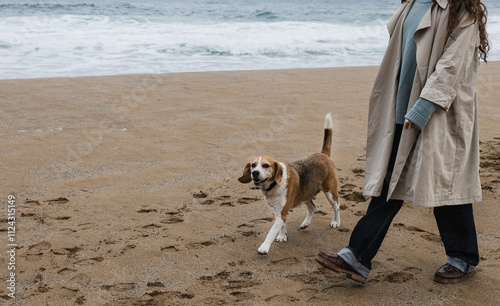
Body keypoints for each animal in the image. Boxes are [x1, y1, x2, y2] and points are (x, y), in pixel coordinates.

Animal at [238, 113, 340, 255]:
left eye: (265, 165)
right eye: (253, 165)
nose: (255, 173)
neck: (273, 186)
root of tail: (322, 154)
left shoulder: (281, 213)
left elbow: (271, 232)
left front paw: (264, 247)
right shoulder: (279, 212)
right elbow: (282, 225)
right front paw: (282, 235)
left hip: (330, 192)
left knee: (336, 207)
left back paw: (336, 222)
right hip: (305, 194)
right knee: (312, 207)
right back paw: (305, 223)